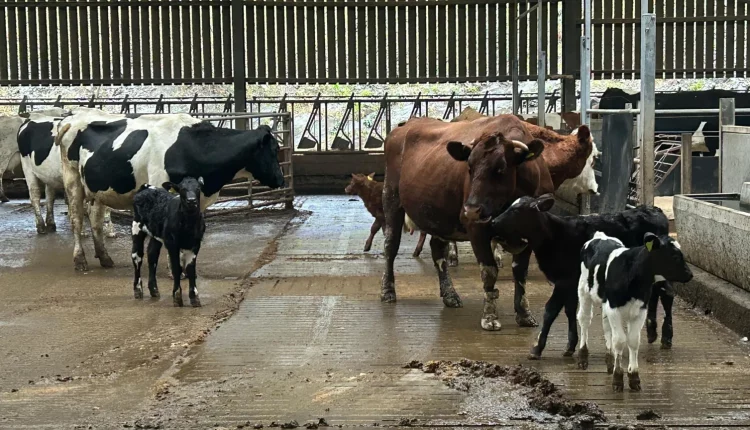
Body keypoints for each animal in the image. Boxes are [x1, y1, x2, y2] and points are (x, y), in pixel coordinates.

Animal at [55, 107, 285, 272]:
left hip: (97, 189)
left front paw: (185, 265)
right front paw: (173, 267)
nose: (282, 180)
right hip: (72, 180)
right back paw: (80, 260)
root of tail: (71, 118)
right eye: (274, 150)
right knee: (76, 219)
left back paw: (105, 258)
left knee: (95, 221)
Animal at [381, 114, 552, 331]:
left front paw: (524, 314)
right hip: (391, 197)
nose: (471, 210)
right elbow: (489, 272)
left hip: (439, 215)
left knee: (438, 250)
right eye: (469, 168)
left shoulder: (530, 232)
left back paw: (450, 295)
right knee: (390, 245)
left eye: (501, 169)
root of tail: (405, 125)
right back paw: (387, 291)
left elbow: (521, 273)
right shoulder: (477, 228)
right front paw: (490, 317)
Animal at [577, 231, 692, 391]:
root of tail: (600, 236)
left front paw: (634, 377)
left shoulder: (639, 310)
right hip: (583, 291)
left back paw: (609, 361)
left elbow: (632, 341)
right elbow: (619, 341)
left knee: (606, 326)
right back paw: (583, 357)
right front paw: (618, 379)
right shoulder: (614, 308)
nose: (690, 274)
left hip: (605, 303)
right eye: (674, 256)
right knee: (584, 320)